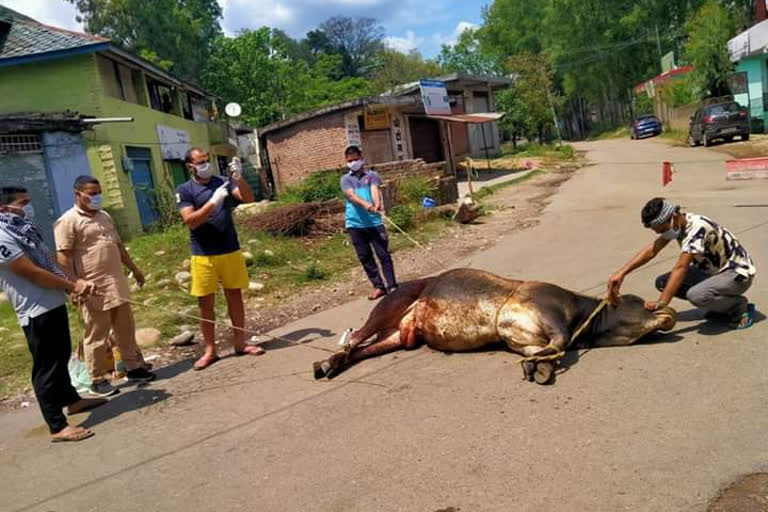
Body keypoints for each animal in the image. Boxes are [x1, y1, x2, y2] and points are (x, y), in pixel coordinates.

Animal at [314, 268, 680, 384]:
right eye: (638, 300)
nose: (667, 309)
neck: (580, 312)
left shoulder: (526, 340)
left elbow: (549, 353)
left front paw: (539, 366)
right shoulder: (547, 313)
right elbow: (561, 344)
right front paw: (539, 366)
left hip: (399, 336)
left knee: (362, 350)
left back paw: (331, 364)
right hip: (391, 304)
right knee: (356, 338)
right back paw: (327, 361)